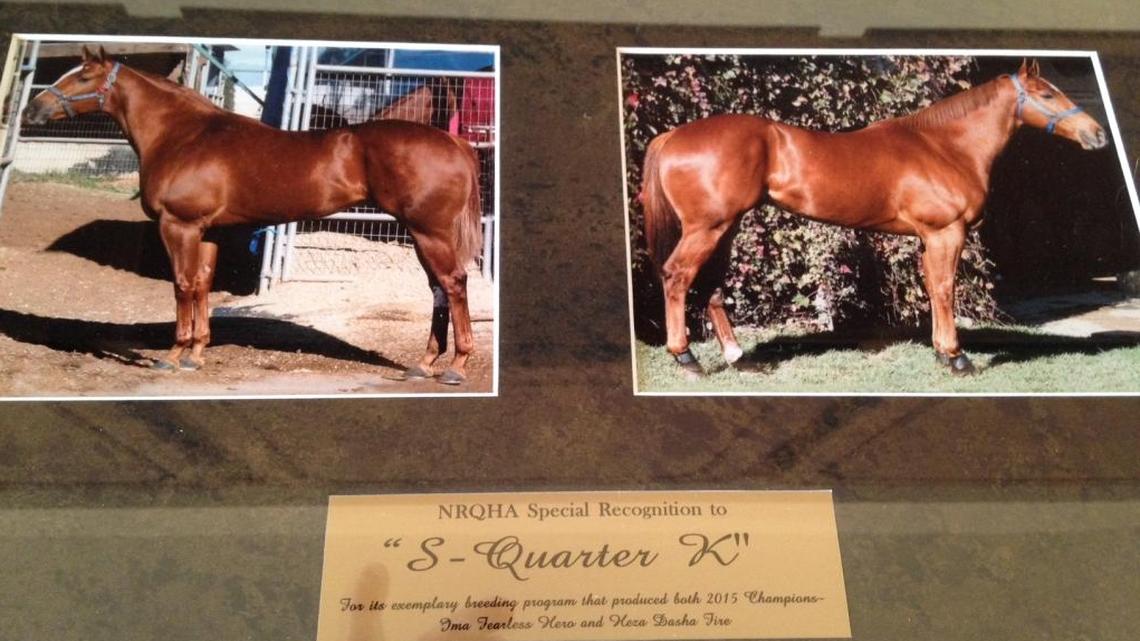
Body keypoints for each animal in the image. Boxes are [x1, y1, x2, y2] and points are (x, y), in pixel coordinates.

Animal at [21, 46, 483, 385]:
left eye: (83, 76)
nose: (32, 111)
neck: (183, 137)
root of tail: (453, 142)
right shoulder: (207, 232)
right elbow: (202, 286)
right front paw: (197, 354)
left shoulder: (178, 226)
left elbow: (182, 285)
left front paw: (173, 354)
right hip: (420, 235)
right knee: (438, 291)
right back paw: (423, 364)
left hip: (429, 233)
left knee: (453, 285)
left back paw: (456, 367)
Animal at [640, 59, 1108, 376]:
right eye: (1047, 95)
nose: (1098, 134)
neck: (944, 146)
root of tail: (673, 135)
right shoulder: (946, 234)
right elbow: (944, 289)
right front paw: (957, 358)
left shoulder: (929, 238)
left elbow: (933, 290)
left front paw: (941, 352)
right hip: (707, 228)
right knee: (678, 277)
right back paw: (687, 358)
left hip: (725, 228)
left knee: (711, 288)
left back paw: (738, 358)